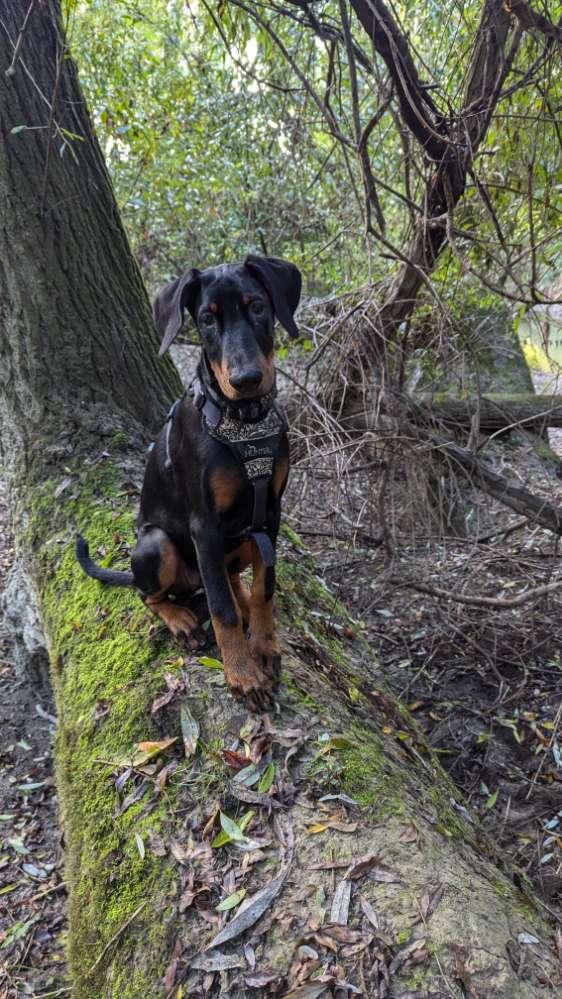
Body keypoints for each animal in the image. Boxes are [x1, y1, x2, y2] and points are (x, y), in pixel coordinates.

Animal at [77, 258, 302, 712]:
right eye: (206, 319)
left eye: (257, 306)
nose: (247, 379)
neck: (244, 420)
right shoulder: (204, 525)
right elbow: (221, 610)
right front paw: (242, 675)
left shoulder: (271, 513)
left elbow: (264, 587)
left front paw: (264, 647)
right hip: (157, 544)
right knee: (150, 594)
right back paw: (180, 619)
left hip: (240, 539)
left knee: (230, 580)